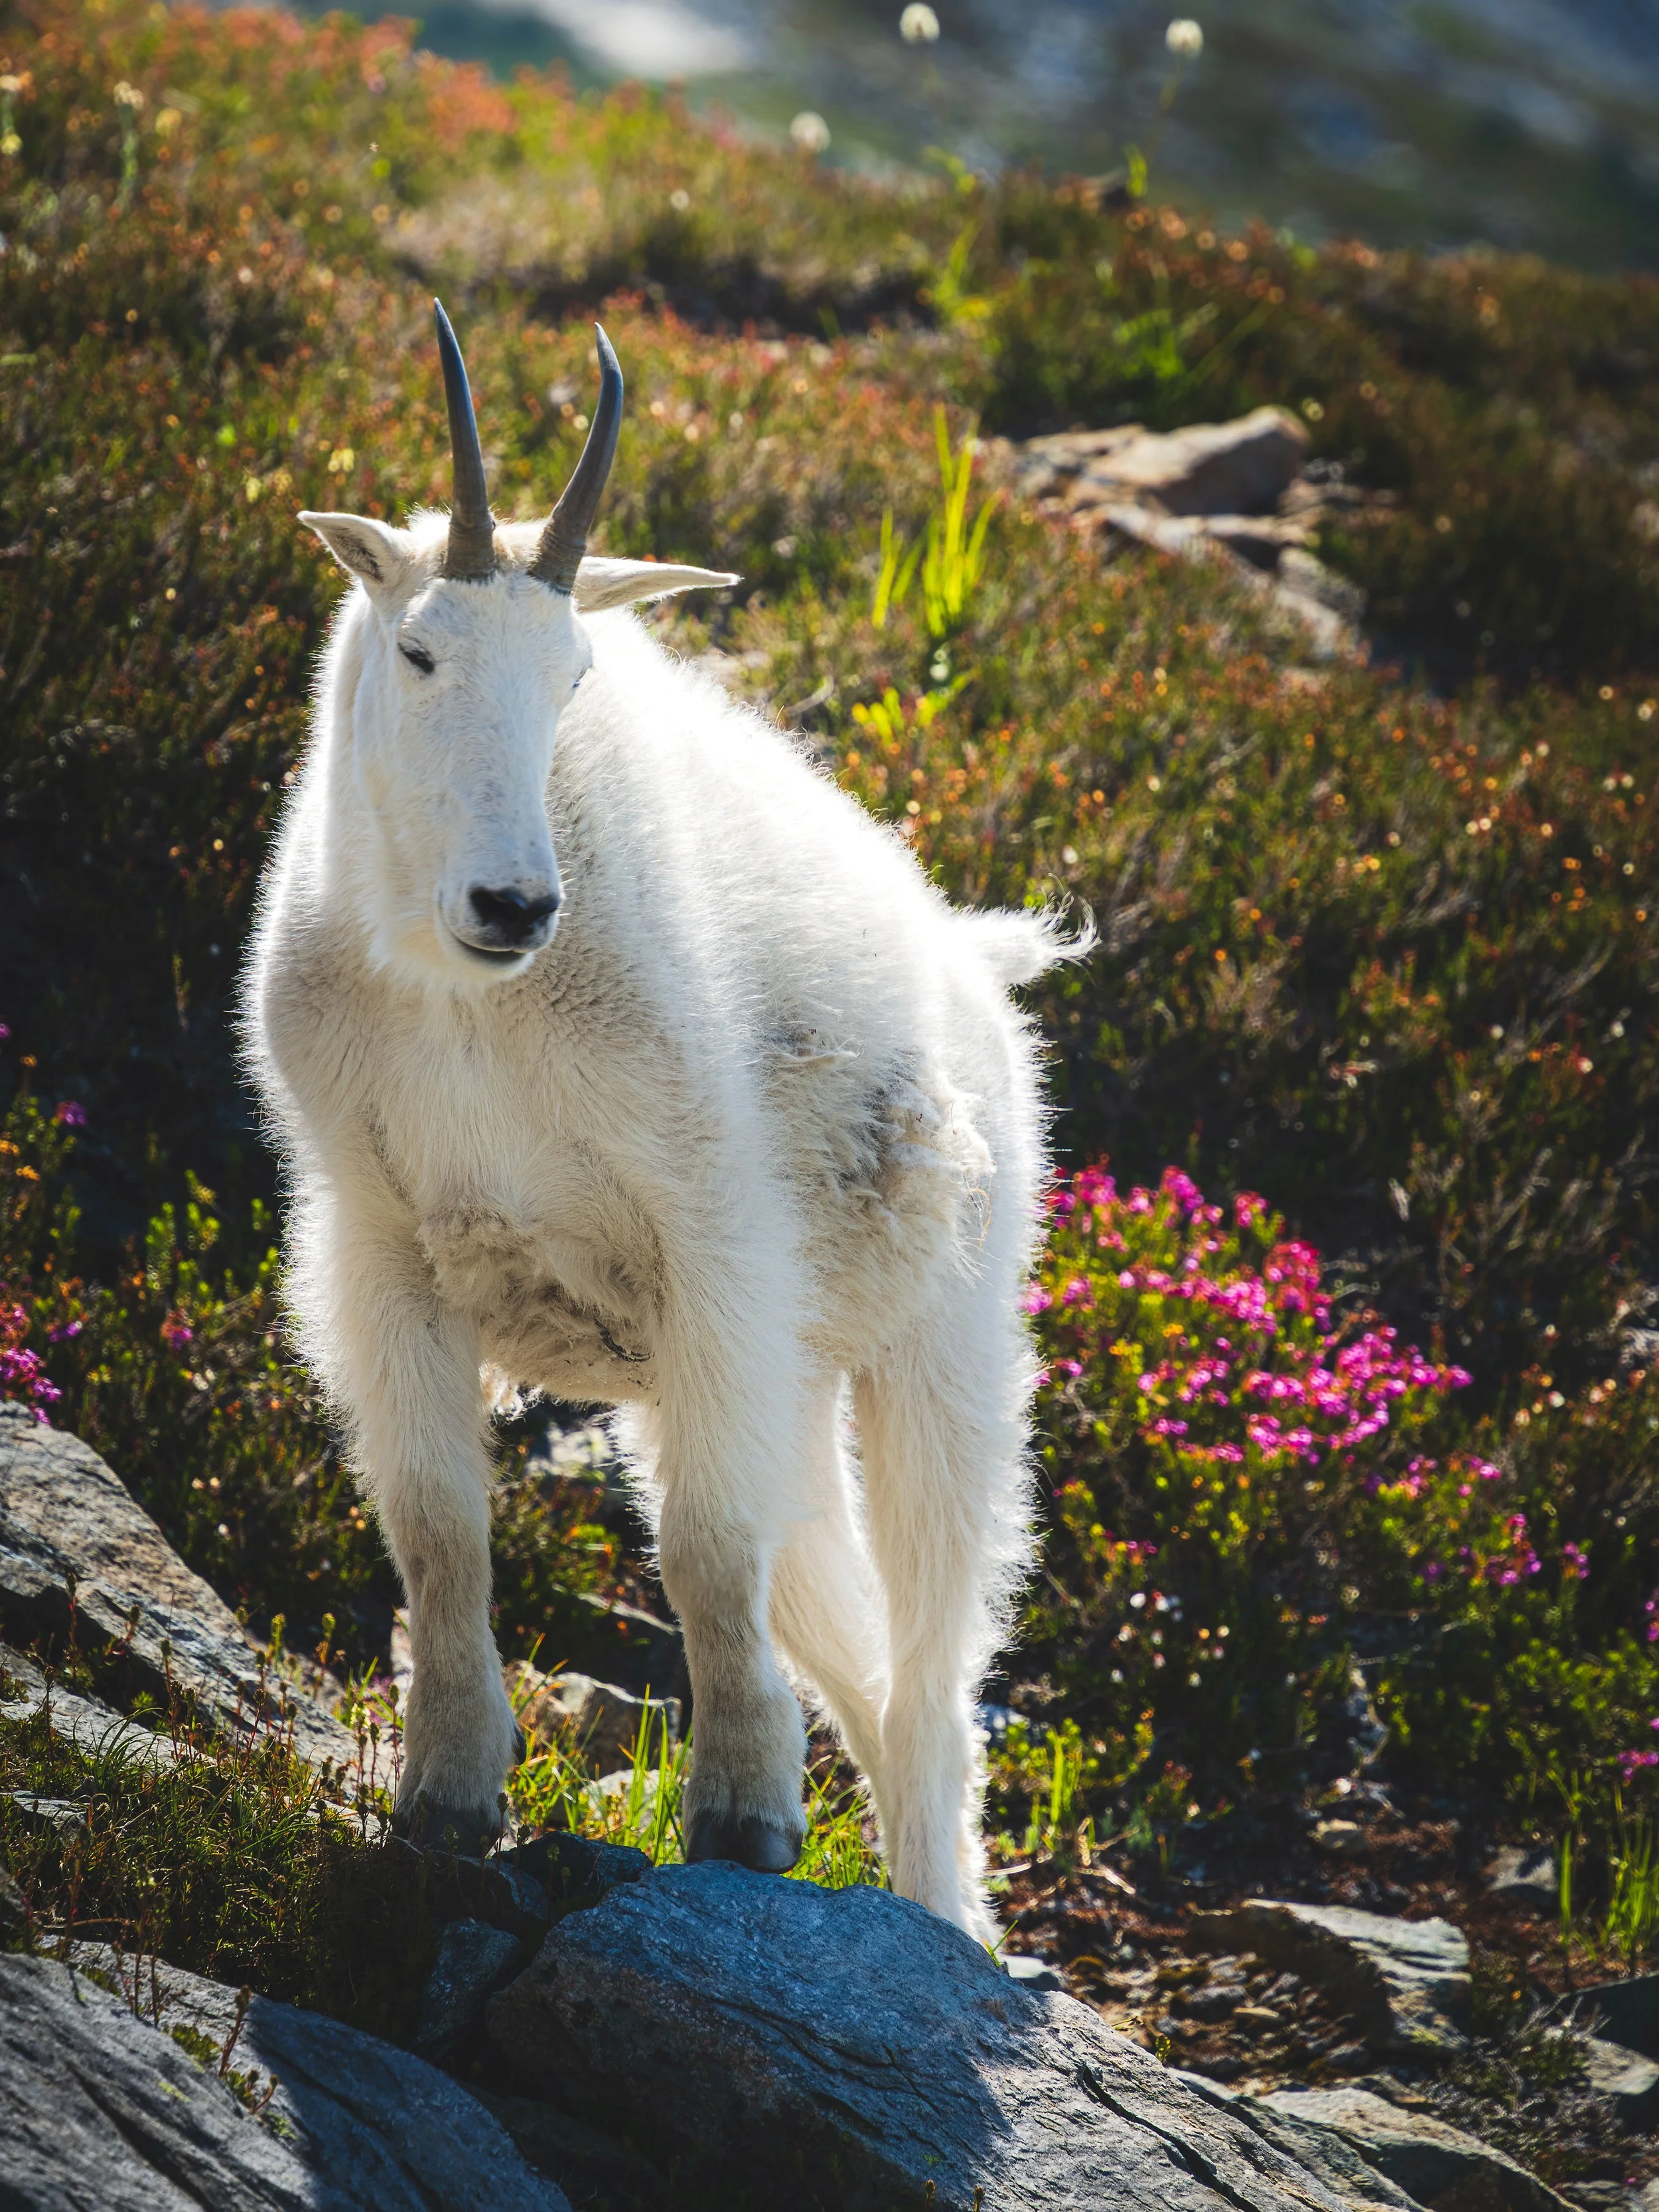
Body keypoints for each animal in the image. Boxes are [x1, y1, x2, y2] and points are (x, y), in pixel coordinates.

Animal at [242, 303, 1076, 1936]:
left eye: (574, 673)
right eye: (421, 648)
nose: (516, 902)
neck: (468, 1004)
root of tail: (980, 962)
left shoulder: (713, 1245)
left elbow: (703, 1548)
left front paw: (744, 1818)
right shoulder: (380, 1245)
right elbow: (439, 1525)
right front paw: (448, 1798)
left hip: (936, 1349)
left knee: (934, 1669)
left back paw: (944, 1920)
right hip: (798, 1387)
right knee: (853, 1643)